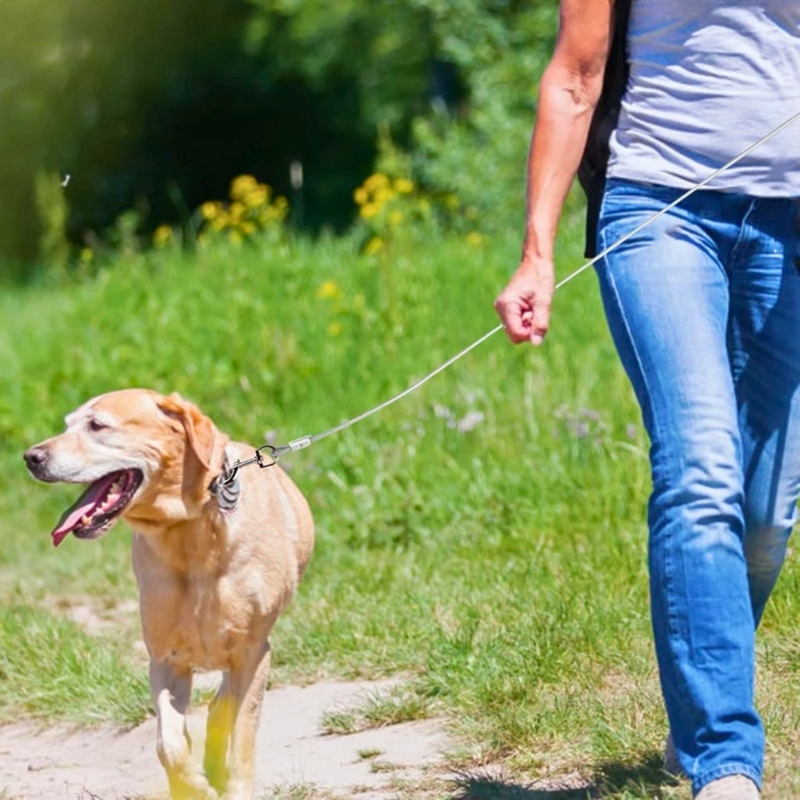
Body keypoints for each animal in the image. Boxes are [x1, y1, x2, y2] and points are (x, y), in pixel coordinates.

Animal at [21, 390, 316, 796]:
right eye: (66, 425)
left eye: (97, 425)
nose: (31, 457)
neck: (186, 534)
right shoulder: (165, 659)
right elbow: (170, 744)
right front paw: (195, 787)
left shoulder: (253, 652)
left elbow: (242, 735)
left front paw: (231, 788)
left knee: (225, 708)